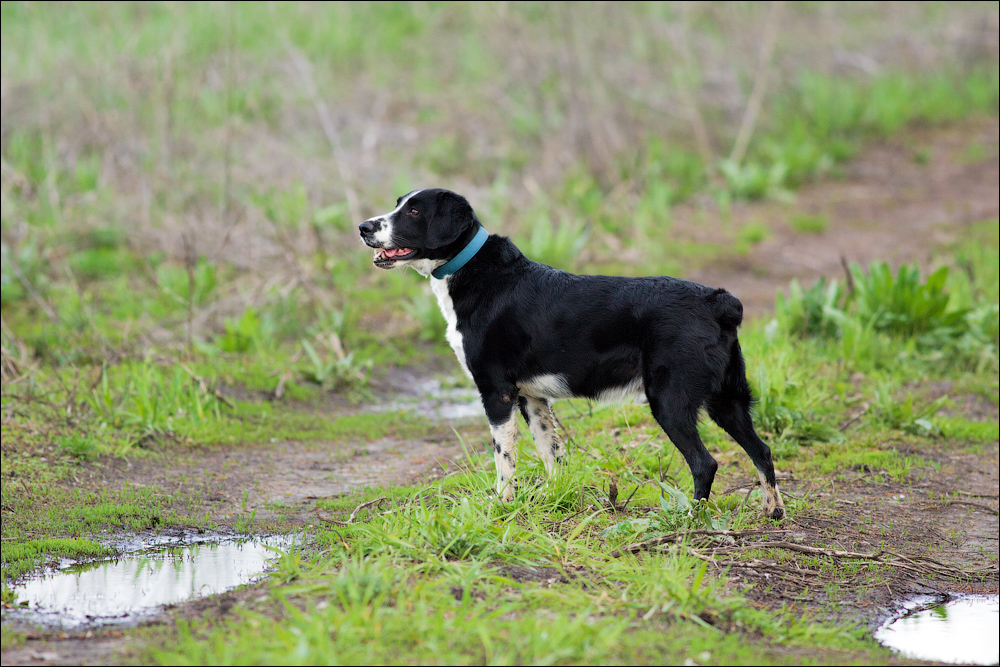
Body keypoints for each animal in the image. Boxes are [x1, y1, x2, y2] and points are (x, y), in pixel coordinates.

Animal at [364, 188, 784, 520]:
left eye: (414, 211)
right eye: (398, 204)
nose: (364, 227)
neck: (474, 271)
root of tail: (718, 301)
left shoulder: (497, 392)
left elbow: (504, 461)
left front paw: (502, 507)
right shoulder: (532, 398)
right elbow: (552, 455)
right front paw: (556, 500)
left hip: (670, 401)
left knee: (704, 463)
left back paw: (690, 518)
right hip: (726, 401)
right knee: (762, 451)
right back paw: (773, 510)